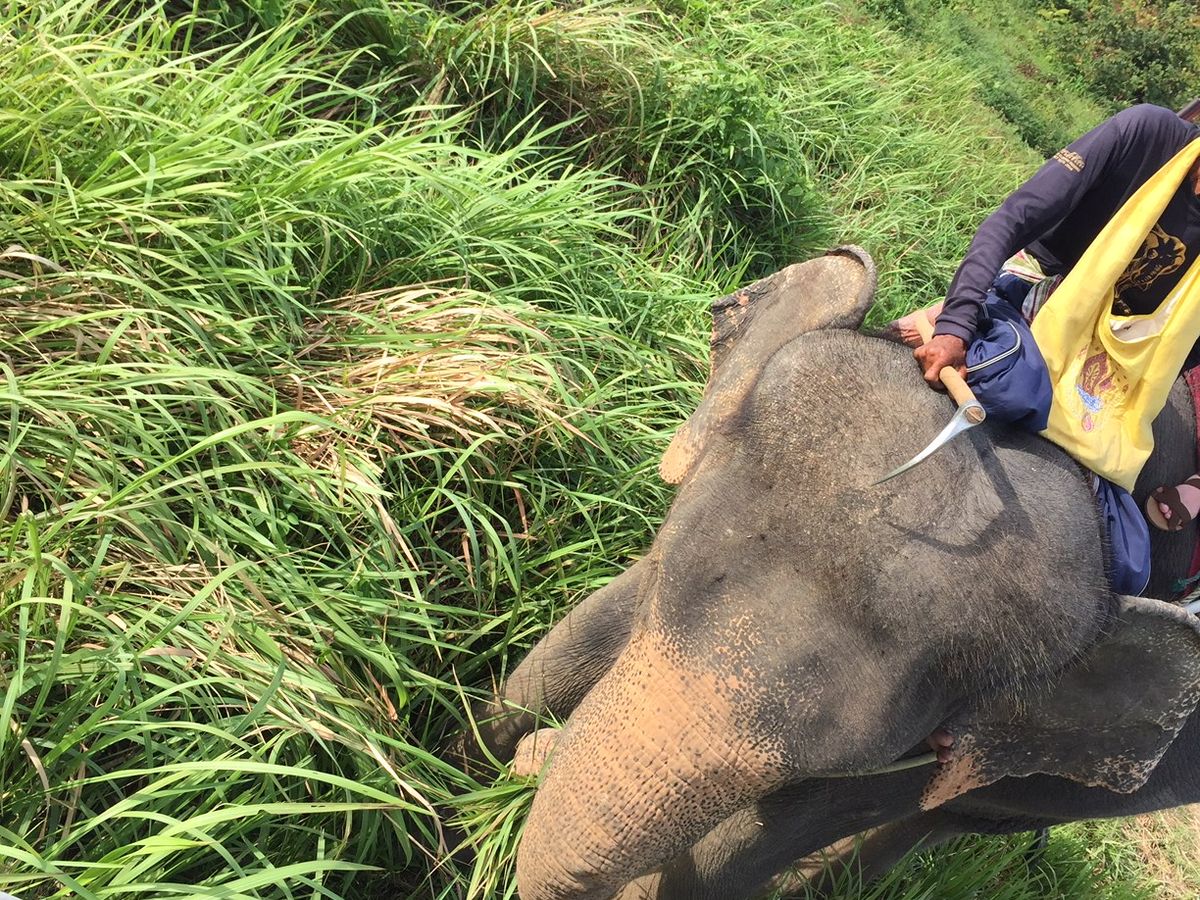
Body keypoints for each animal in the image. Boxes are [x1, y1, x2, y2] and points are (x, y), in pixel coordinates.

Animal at [455, 247, 1200, 900]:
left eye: (835, 756)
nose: (536, 762)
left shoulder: (935, 742)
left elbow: (743, 849)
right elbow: (574, 643)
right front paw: (467, 779)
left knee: (941, 821)